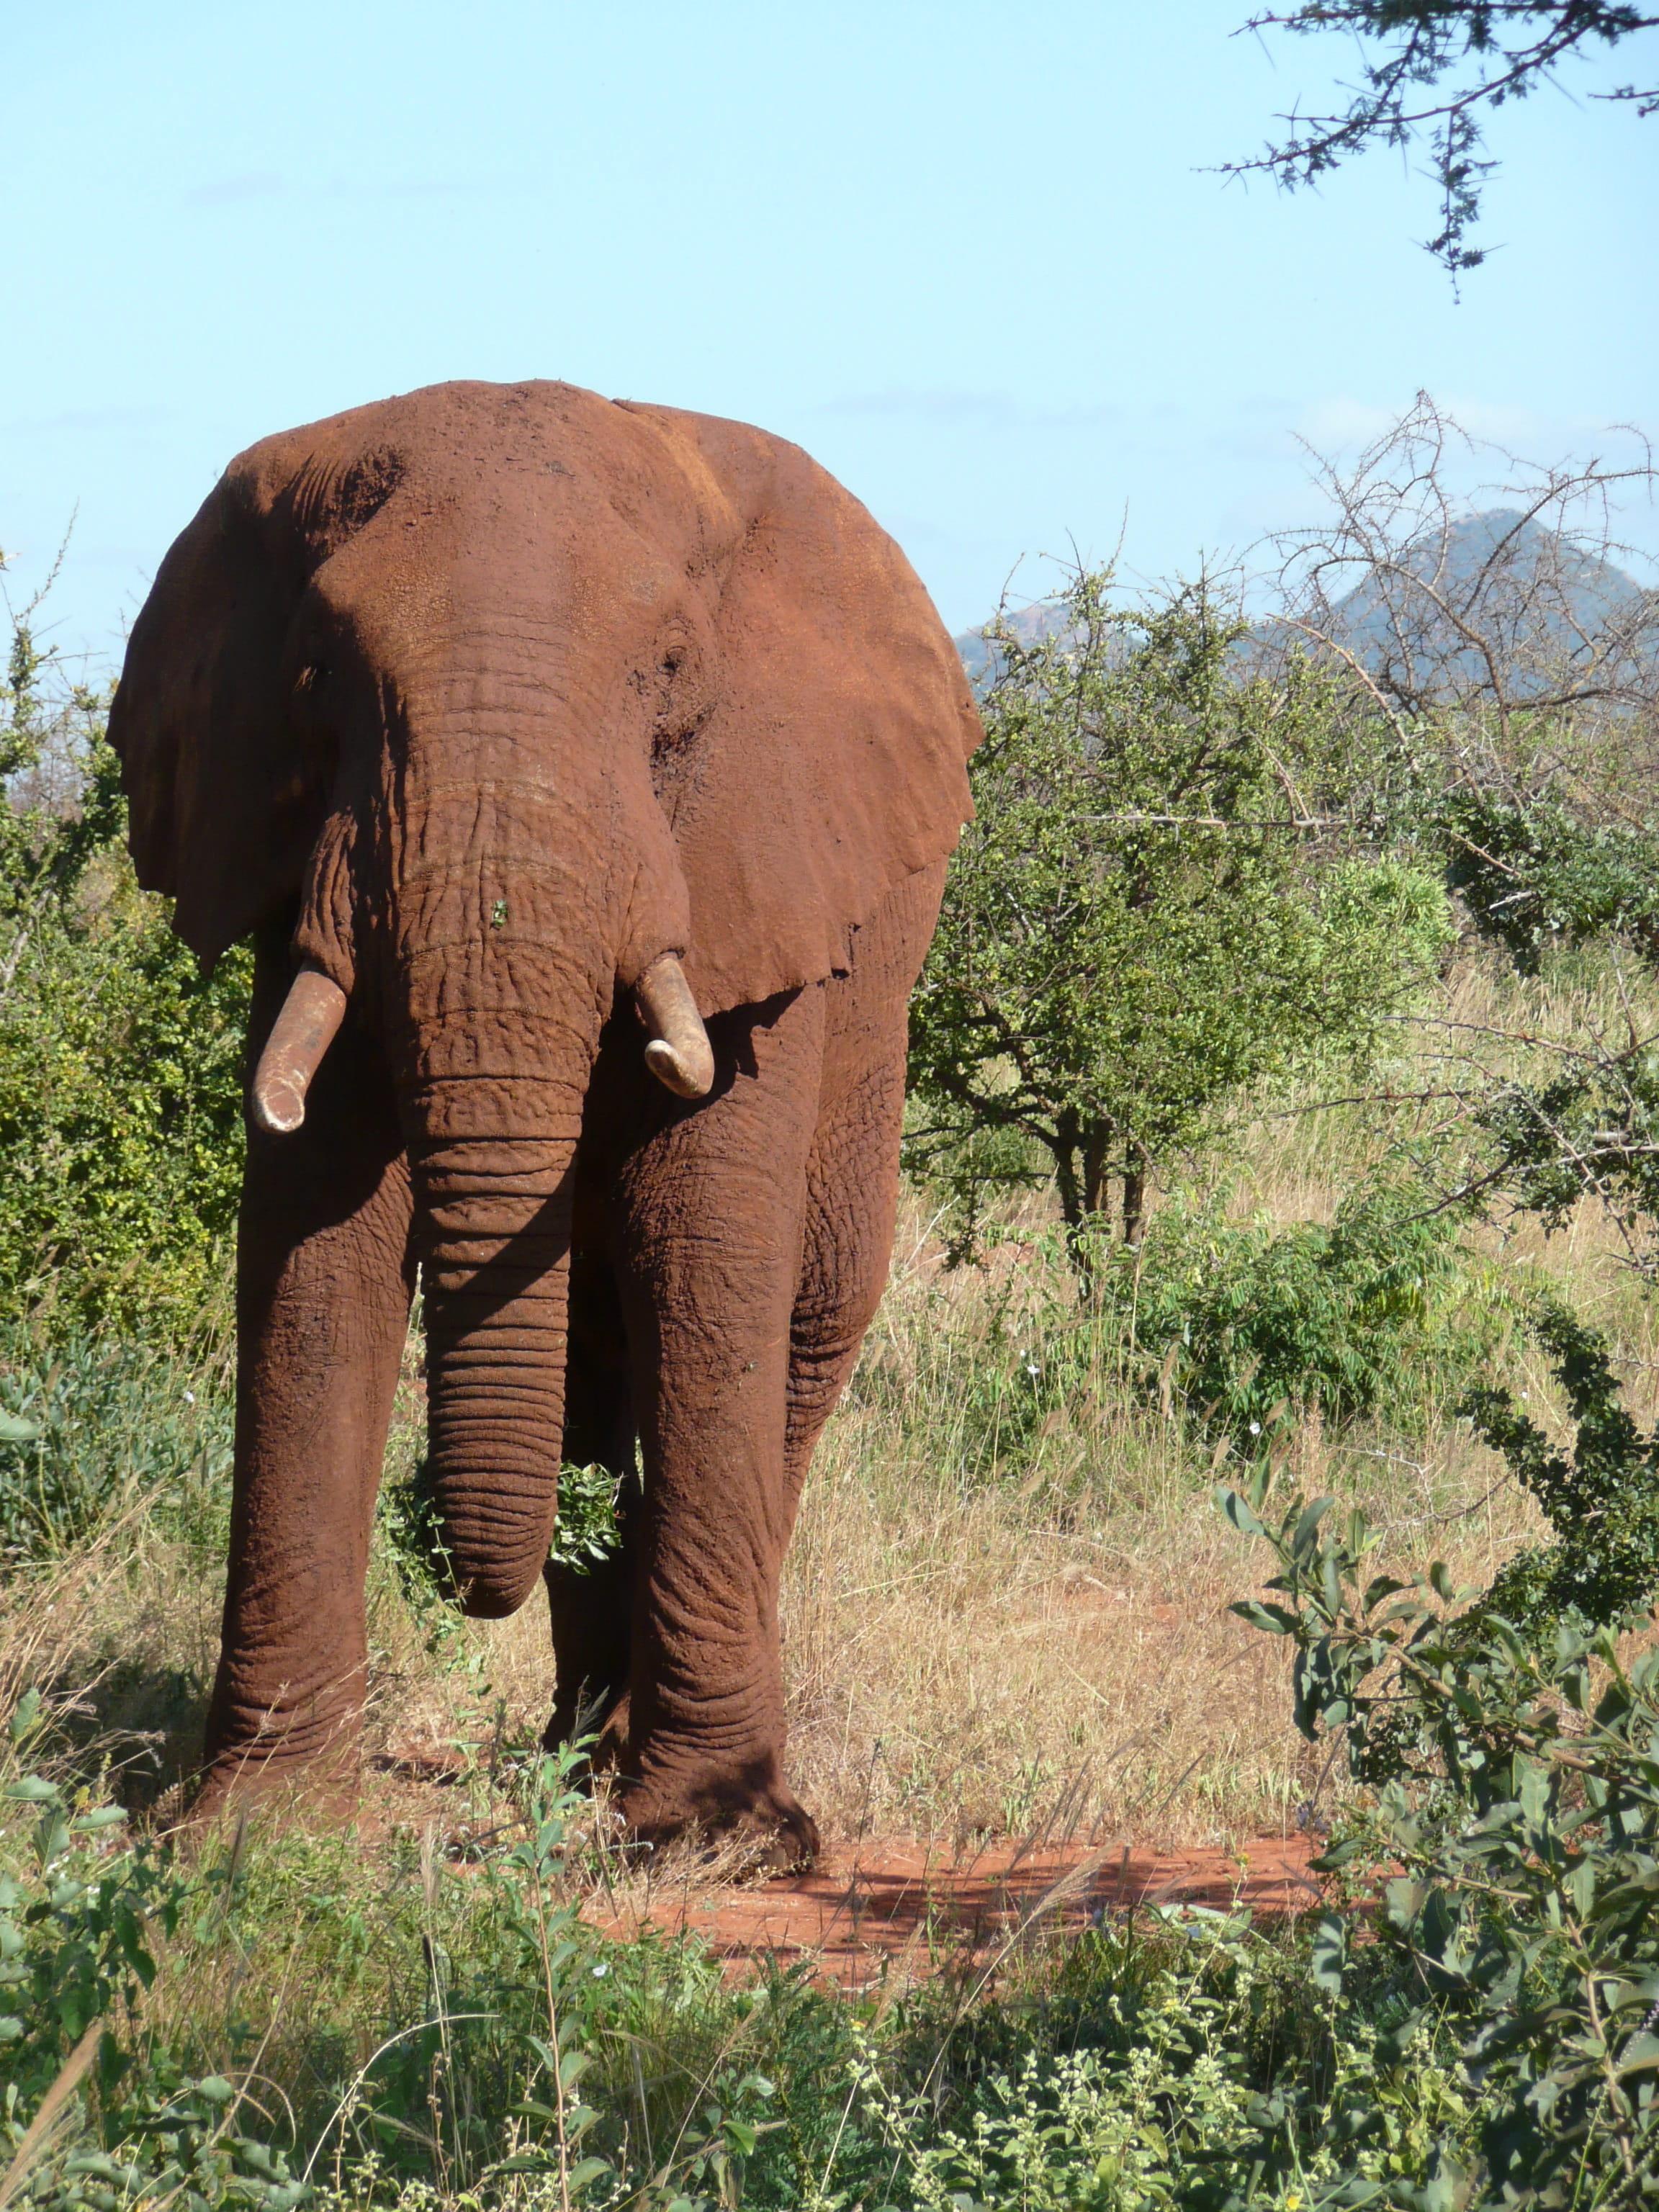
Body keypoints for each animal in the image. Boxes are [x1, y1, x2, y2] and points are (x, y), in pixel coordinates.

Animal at [108, 379, 979, 1865]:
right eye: (316, 676)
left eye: (673, 672)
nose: (459, 1566)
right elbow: (311, 1247)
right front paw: (257, 1831)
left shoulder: (754, 869)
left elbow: (701, 1242)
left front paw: (712, 1835)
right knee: (587, 1347)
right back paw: (578, 1752)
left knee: (800, 1319)